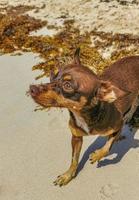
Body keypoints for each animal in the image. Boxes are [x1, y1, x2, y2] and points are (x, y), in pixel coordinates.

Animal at [29, 48, 139, 186]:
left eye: (67, 85)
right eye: (54, 77)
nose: (32, 88)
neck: (84, 114)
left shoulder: (118, 126)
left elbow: (108, 146)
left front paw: (97, 155)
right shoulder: (76, 138)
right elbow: (74, 159)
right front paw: (68, 175)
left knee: (135, 104)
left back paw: (128, 117)